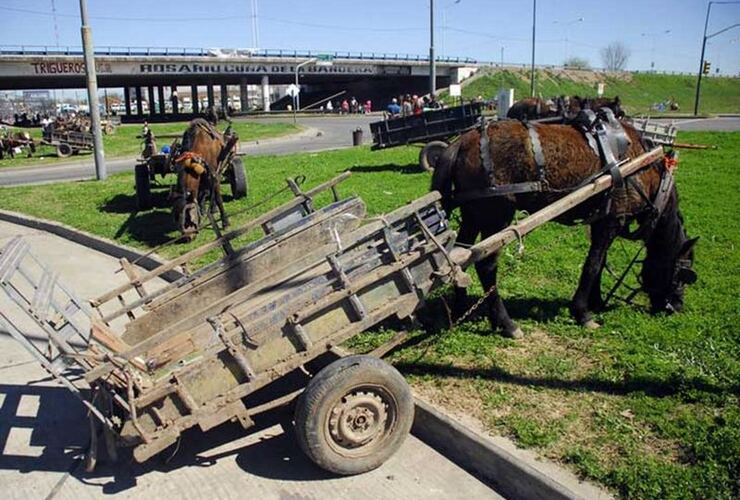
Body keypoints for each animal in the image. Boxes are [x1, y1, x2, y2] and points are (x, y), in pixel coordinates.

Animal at [430, 114, 696, 340]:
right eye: (683, 274)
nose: (676, 306)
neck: (643, 167)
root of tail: (461, 142)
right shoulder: (611, 220)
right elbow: (593, 264)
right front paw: (582, 312)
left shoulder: (601, 221)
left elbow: (599, 261)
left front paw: (596, 300)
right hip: (496, 216)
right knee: (486, 265)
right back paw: (506, 323)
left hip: (473, 215)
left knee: (462, 256)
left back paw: (461, 307)